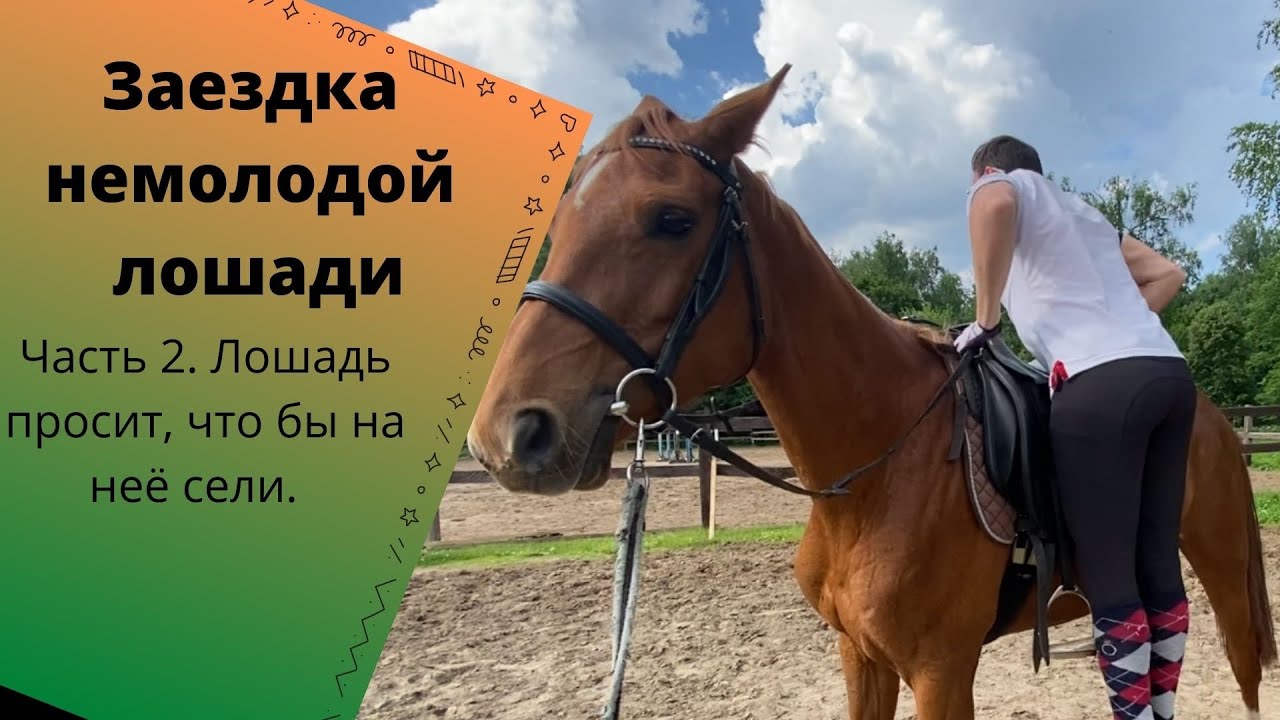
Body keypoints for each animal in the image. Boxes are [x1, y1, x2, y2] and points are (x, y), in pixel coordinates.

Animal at [464, 64, 1276, 719]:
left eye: (672, 219)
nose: (510, 433)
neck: (878, 473)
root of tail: (1205, 410)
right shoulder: (862, 657)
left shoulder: (943, 672)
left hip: (1217, 564)